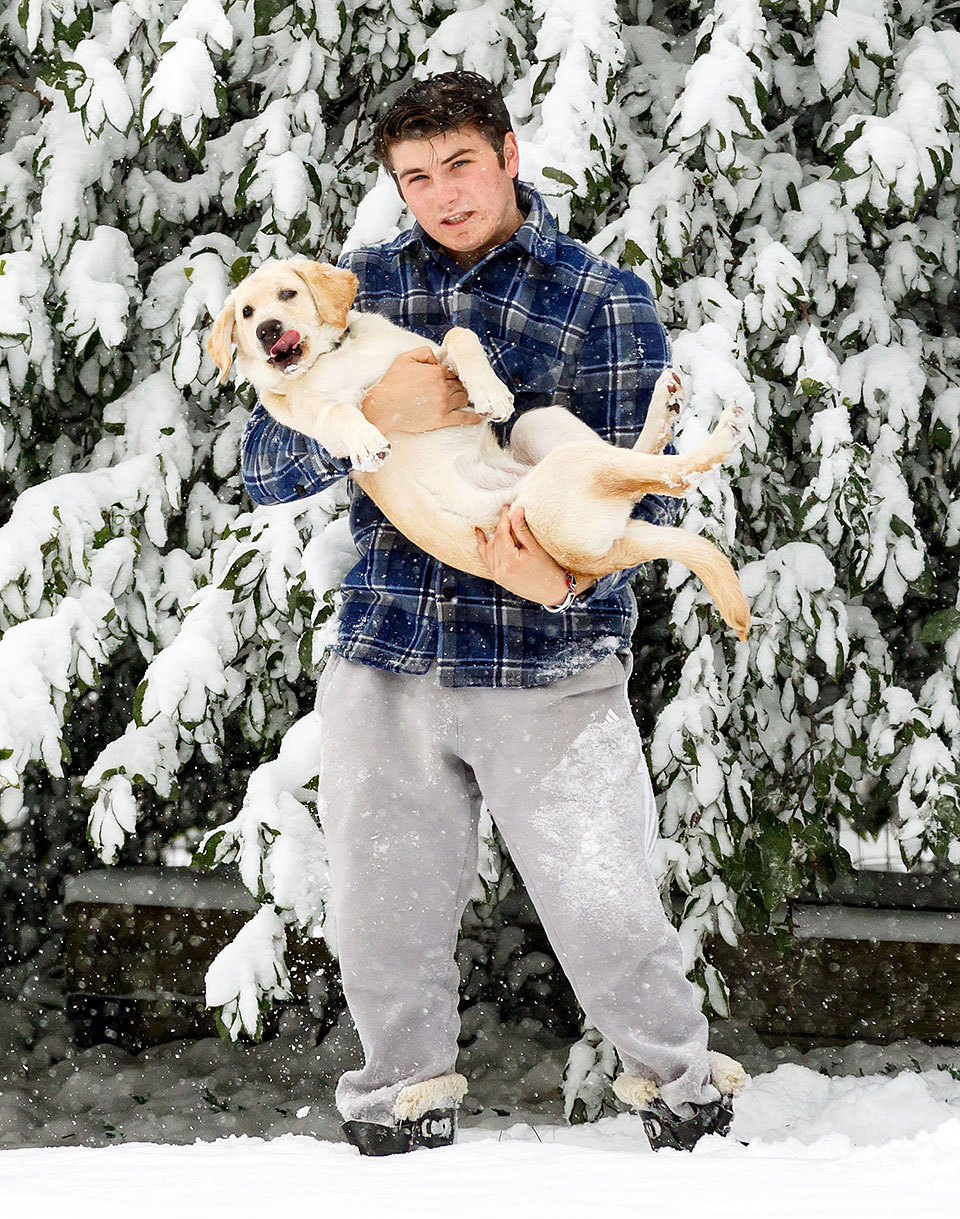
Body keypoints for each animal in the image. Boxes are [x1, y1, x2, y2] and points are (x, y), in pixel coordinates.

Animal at [208, 257, 750, 638]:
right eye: (246, 313)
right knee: (665, 475)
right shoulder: (299, 410)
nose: (267, 331)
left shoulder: (429, 353)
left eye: (288, 293)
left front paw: (489, 391)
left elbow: (460, 332)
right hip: (571, 470)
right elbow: (337, 412)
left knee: (646, 462)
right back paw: (721, 431)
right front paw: (365, 441)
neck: (333, 358)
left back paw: (670, 405)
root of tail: (603, 557)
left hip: (543, 427)